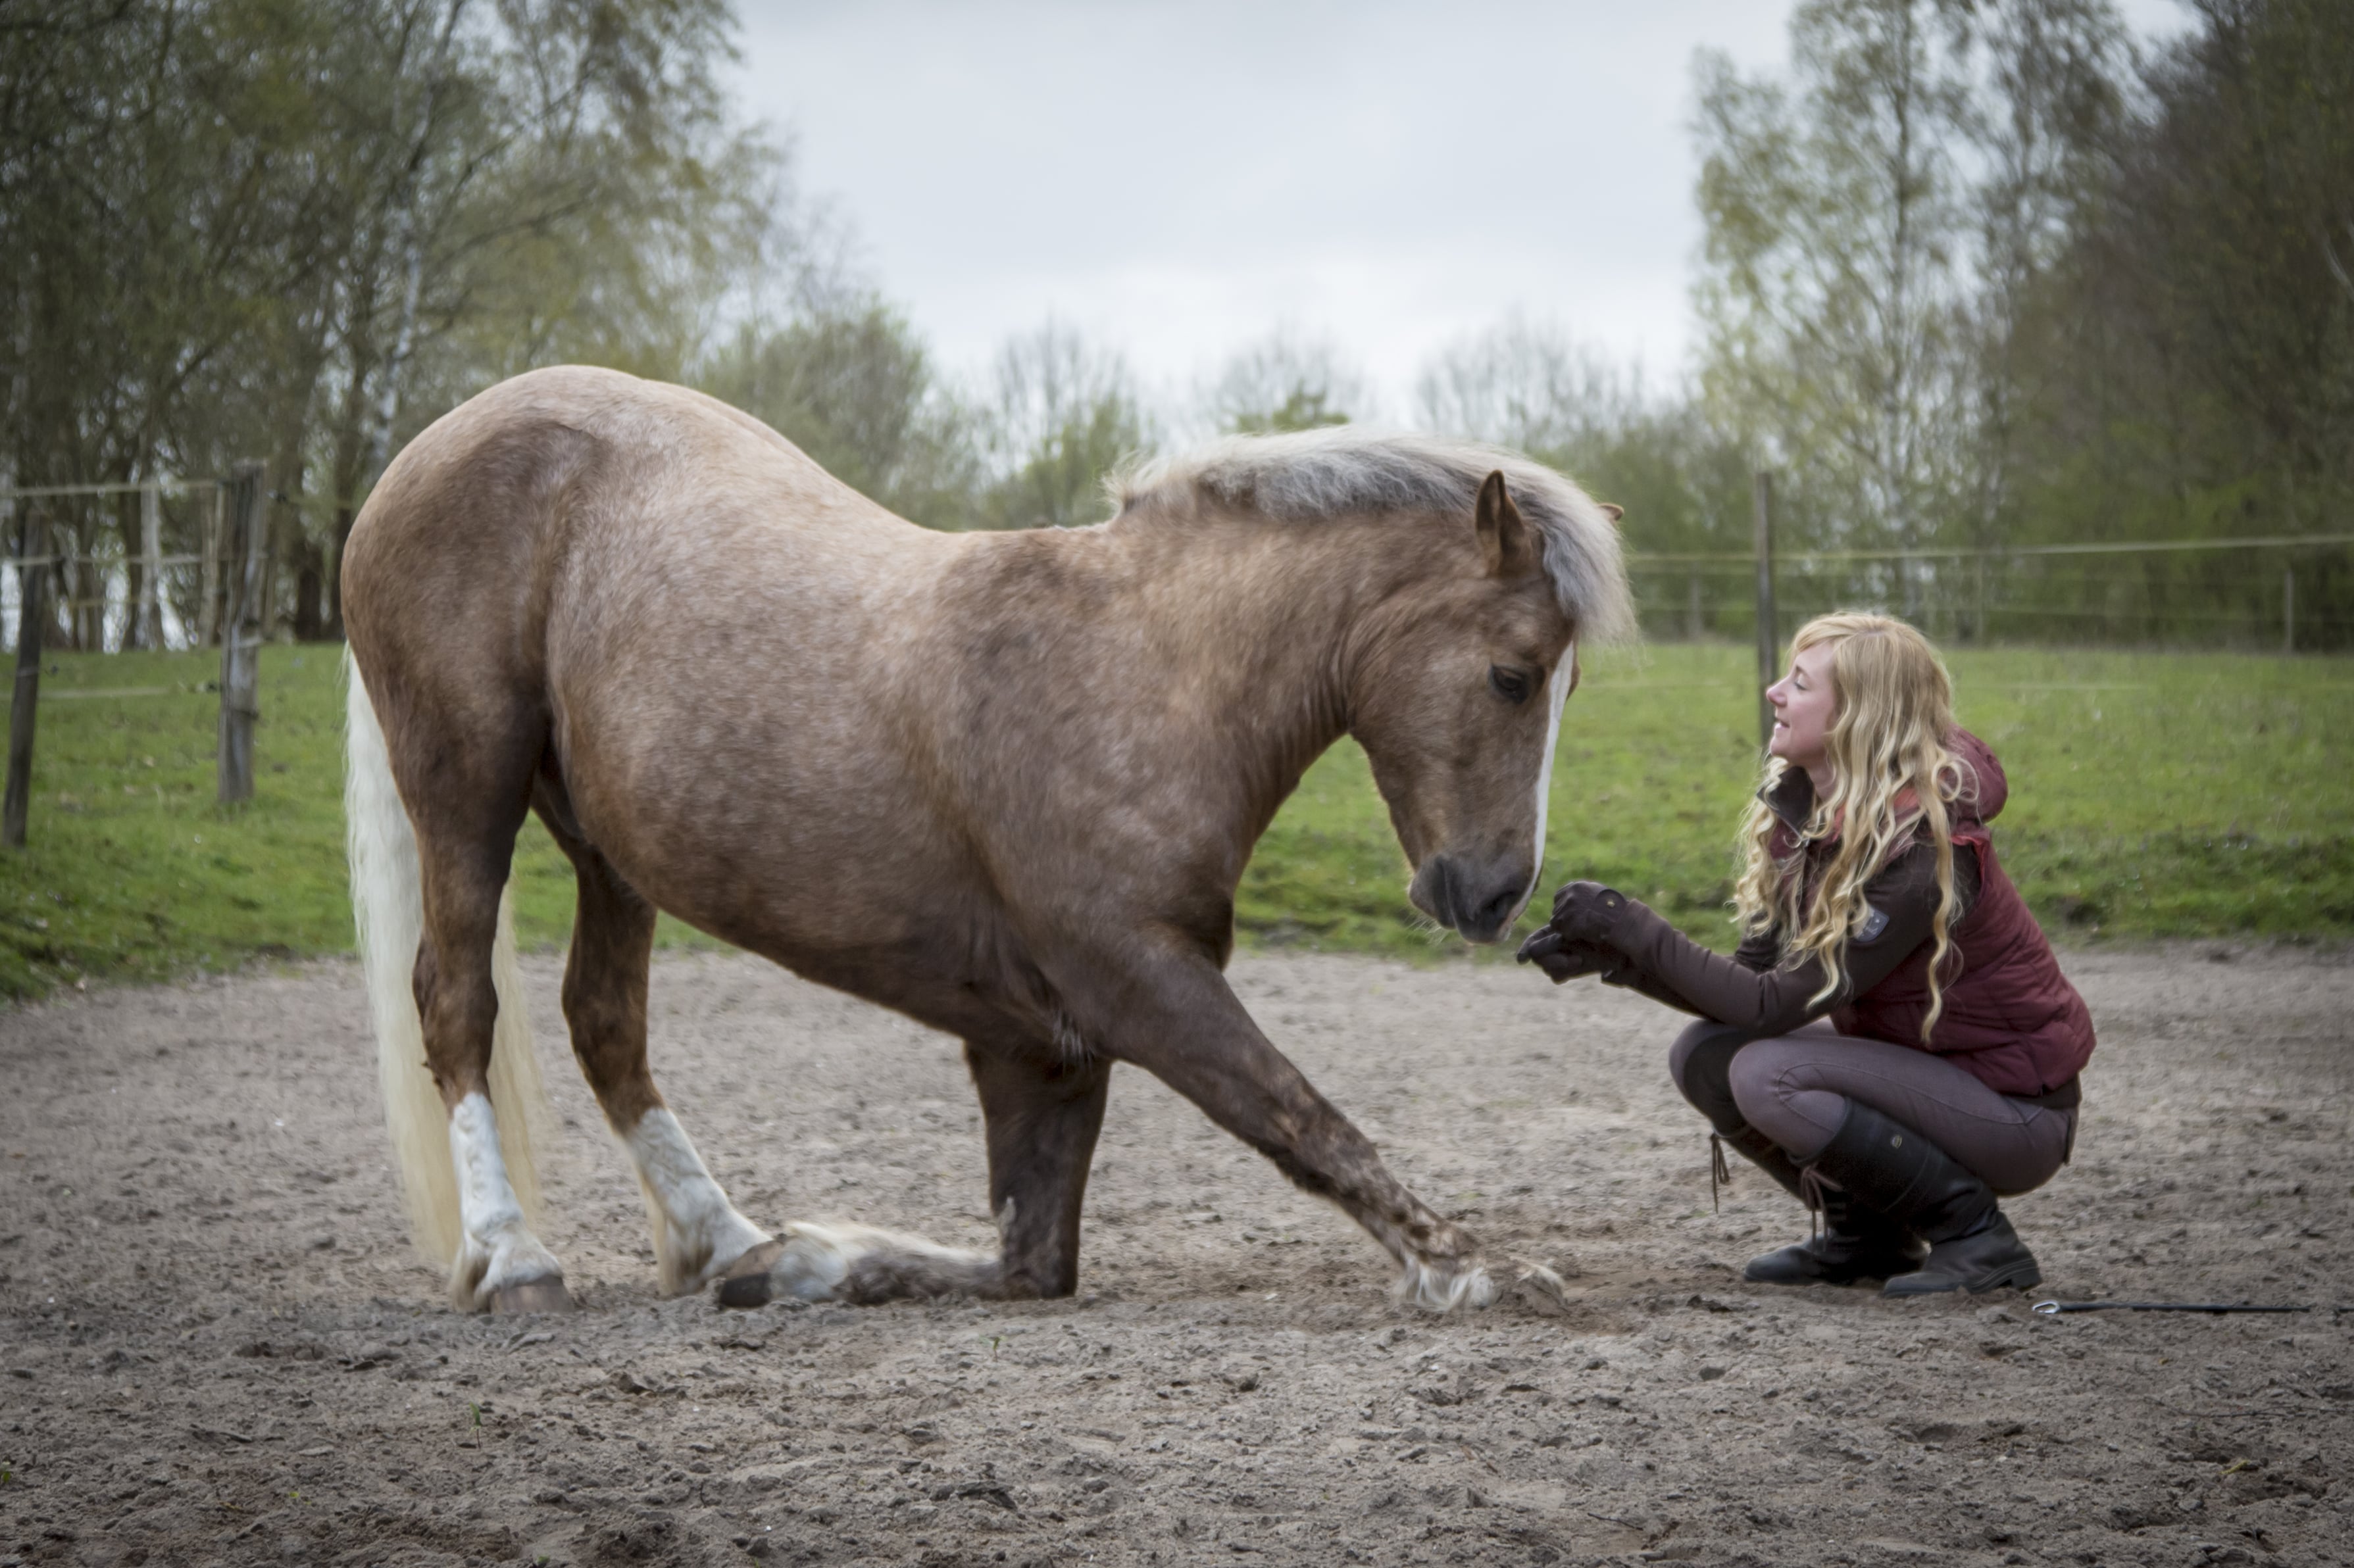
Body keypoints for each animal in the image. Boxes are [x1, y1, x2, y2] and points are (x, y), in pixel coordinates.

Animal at [341, 360, 1628, 1309]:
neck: (1143, 673)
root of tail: (436, 441)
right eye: (1513, 675)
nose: (1496, 892)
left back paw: (723, 1239)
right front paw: (1474, 1267)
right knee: (457, 1001)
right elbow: (1302, 1118)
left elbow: (1022, 1257)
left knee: (605, 1023)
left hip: (607, 850)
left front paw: (807, 1261)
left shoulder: (1043, 1049)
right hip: (465, 786)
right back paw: (515, 1256)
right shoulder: (1133, 981)